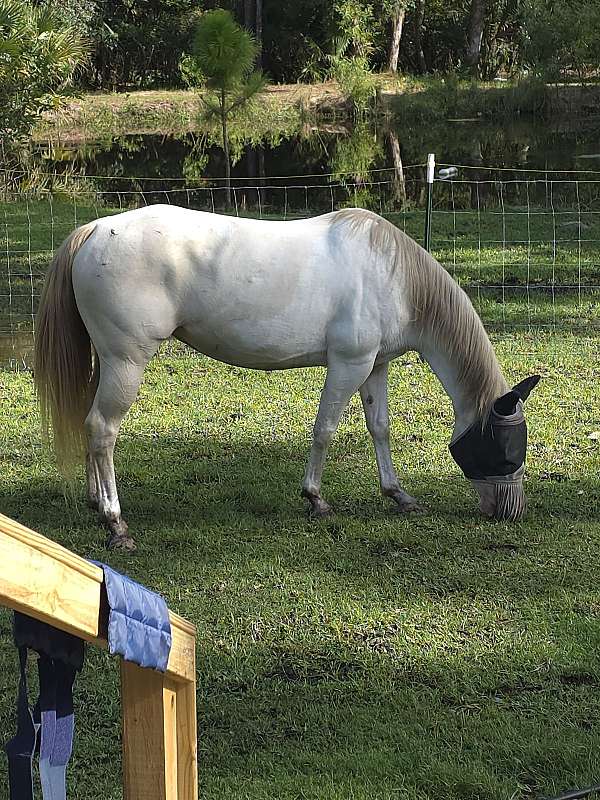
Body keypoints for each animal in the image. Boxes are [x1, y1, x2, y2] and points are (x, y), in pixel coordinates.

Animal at [34, 206, 540, 551]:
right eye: (505, 448)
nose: (510, 512)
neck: (392, 274)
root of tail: (95, 230)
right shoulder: (349, 364)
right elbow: (325, 430)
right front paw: (316, 500)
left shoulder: (375, 365)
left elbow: (379, 429)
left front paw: (399, 495)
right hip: (126, 363)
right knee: (103, 430)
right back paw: (115, 521)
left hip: (106, 362)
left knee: (89, 425)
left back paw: (95, 502)